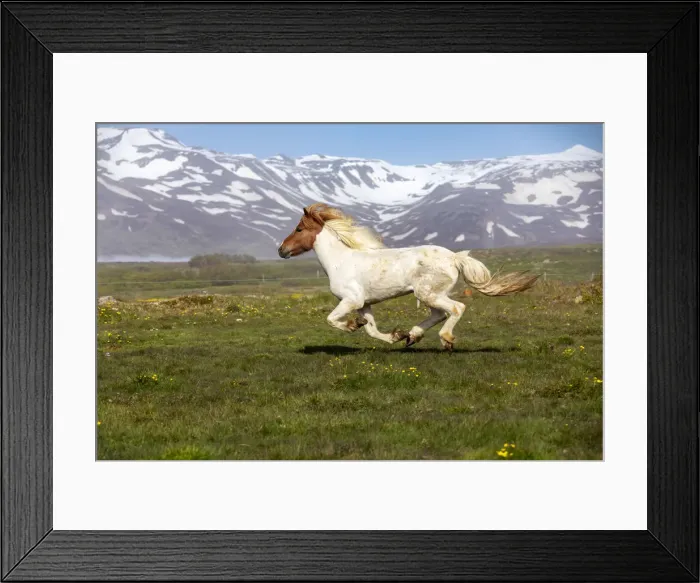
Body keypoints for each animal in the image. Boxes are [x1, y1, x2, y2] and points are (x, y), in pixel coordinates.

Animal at [278, 203, 539, 350]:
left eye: (299, 229)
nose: (281, 250)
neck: (339, 261)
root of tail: (454, 257)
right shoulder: (364, 304)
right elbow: (371, 329)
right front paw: (396, 336)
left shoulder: (351, 300)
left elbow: (331, 319)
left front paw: (351, 325)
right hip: (430, 295)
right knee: (438, 314)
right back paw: (412, 336)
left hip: (429, 293)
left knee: (455, 309)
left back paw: (446, 339)